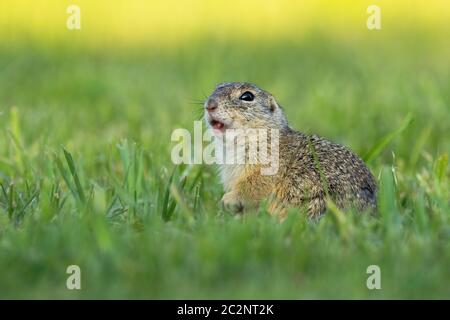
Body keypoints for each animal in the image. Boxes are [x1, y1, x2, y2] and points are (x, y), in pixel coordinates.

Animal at [204, 81, 376, 219]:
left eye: (247, 96)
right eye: (216, 87)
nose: (209, 105)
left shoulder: (267, 167)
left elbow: (252, 186)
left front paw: (227, 200)